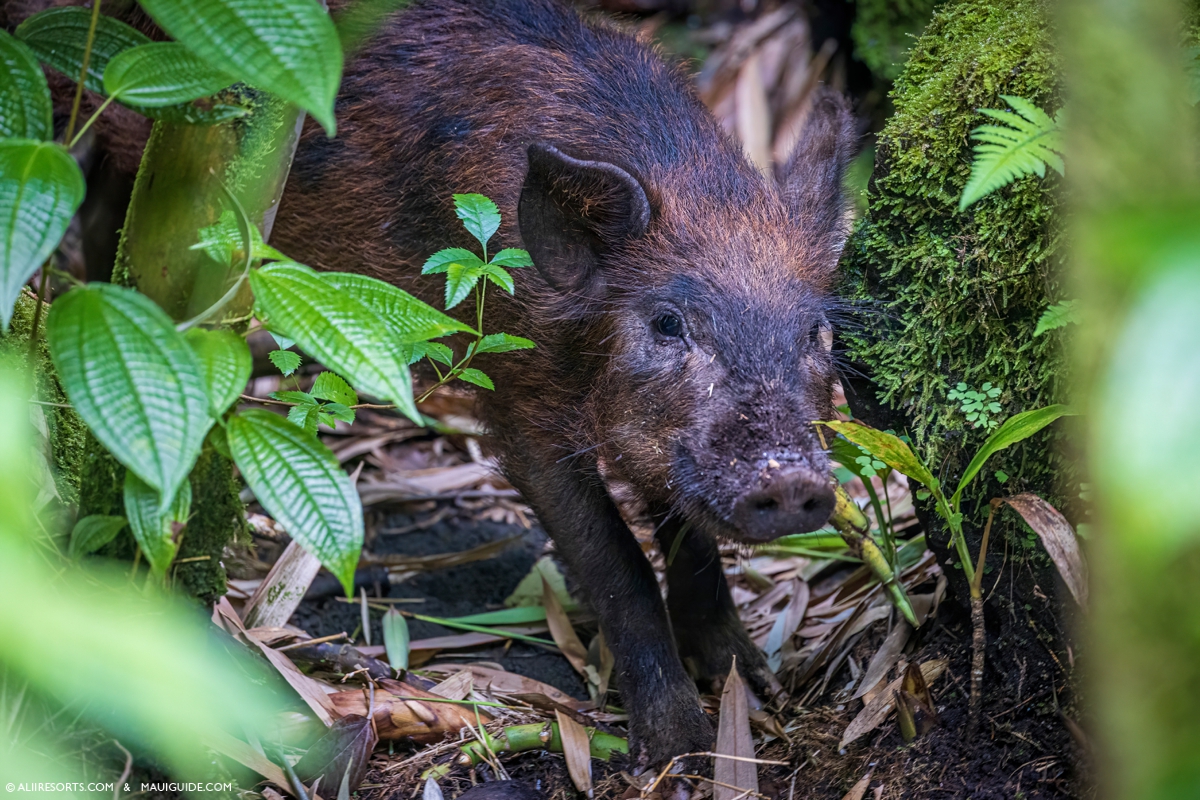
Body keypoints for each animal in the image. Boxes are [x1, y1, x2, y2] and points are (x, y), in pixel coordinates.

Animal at [270, 0, 857, 778]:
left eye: (817, 331)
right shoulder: (520, 405)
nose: (790, 478)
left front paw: (757, 690)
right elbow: (617, 562)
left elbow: (688, 536)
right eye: (667, 323)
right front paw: (676, 756)